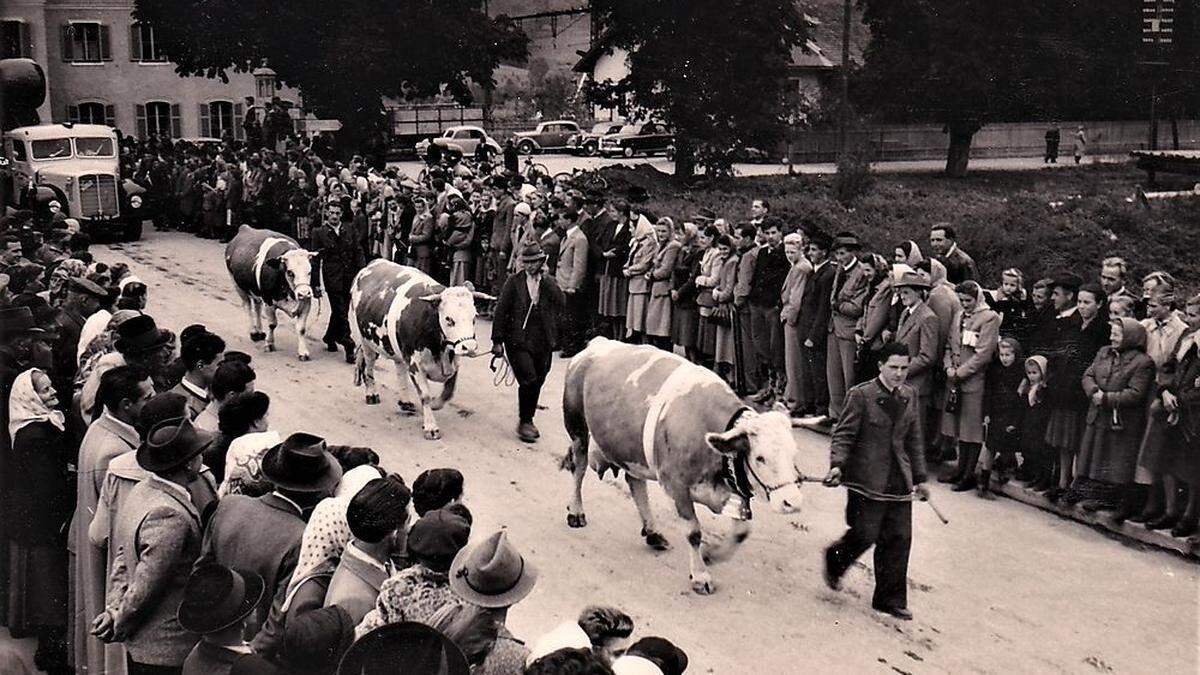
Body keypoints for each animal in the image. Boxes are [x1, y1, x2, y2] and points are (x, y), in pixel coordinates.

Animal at [225, 223, 316, 360]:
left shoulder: (306, 304)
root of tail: (245, 228)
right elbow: (272, 324)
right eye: (290, 272)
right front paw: (269, 344)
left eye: (309, 271)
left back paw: (259, 331)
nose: (304, 293)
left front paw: (303, 352)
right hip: (237, 284)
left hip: (256, 291)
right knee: (247, 307)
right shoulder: (268, 301)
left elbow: (301, 329)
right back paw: (253, 332)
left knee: (257, 306)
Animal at [350, 255, 494, 437]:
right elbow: (425, 395)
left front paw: (436, 404)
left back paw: (405, 401)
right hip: (365, 341)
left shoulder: (453, 363)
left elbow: (448, 392)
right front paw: (431, 426)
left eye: (474, 317)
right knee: (368, 367)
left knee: (399, 369)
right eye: (448, 319)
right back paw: (372, 394)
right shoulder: (415, 364)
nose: (469, 347)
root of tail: (374, 263)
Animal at [561, 338, 806, 590]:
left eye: (794, 454)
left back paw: (653, 532)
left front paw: (711, 554)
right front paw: (700, 575)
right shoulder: (675, 485)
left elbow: (741, 533)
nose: (792, 502)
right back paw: (576, 512)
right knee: (579, 470)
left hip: (630, 448)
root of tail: (598, 343)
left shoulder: (735, 488)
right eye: (760, 458)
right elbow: (693, 532)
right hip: (577, 428)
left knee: (635, 483)